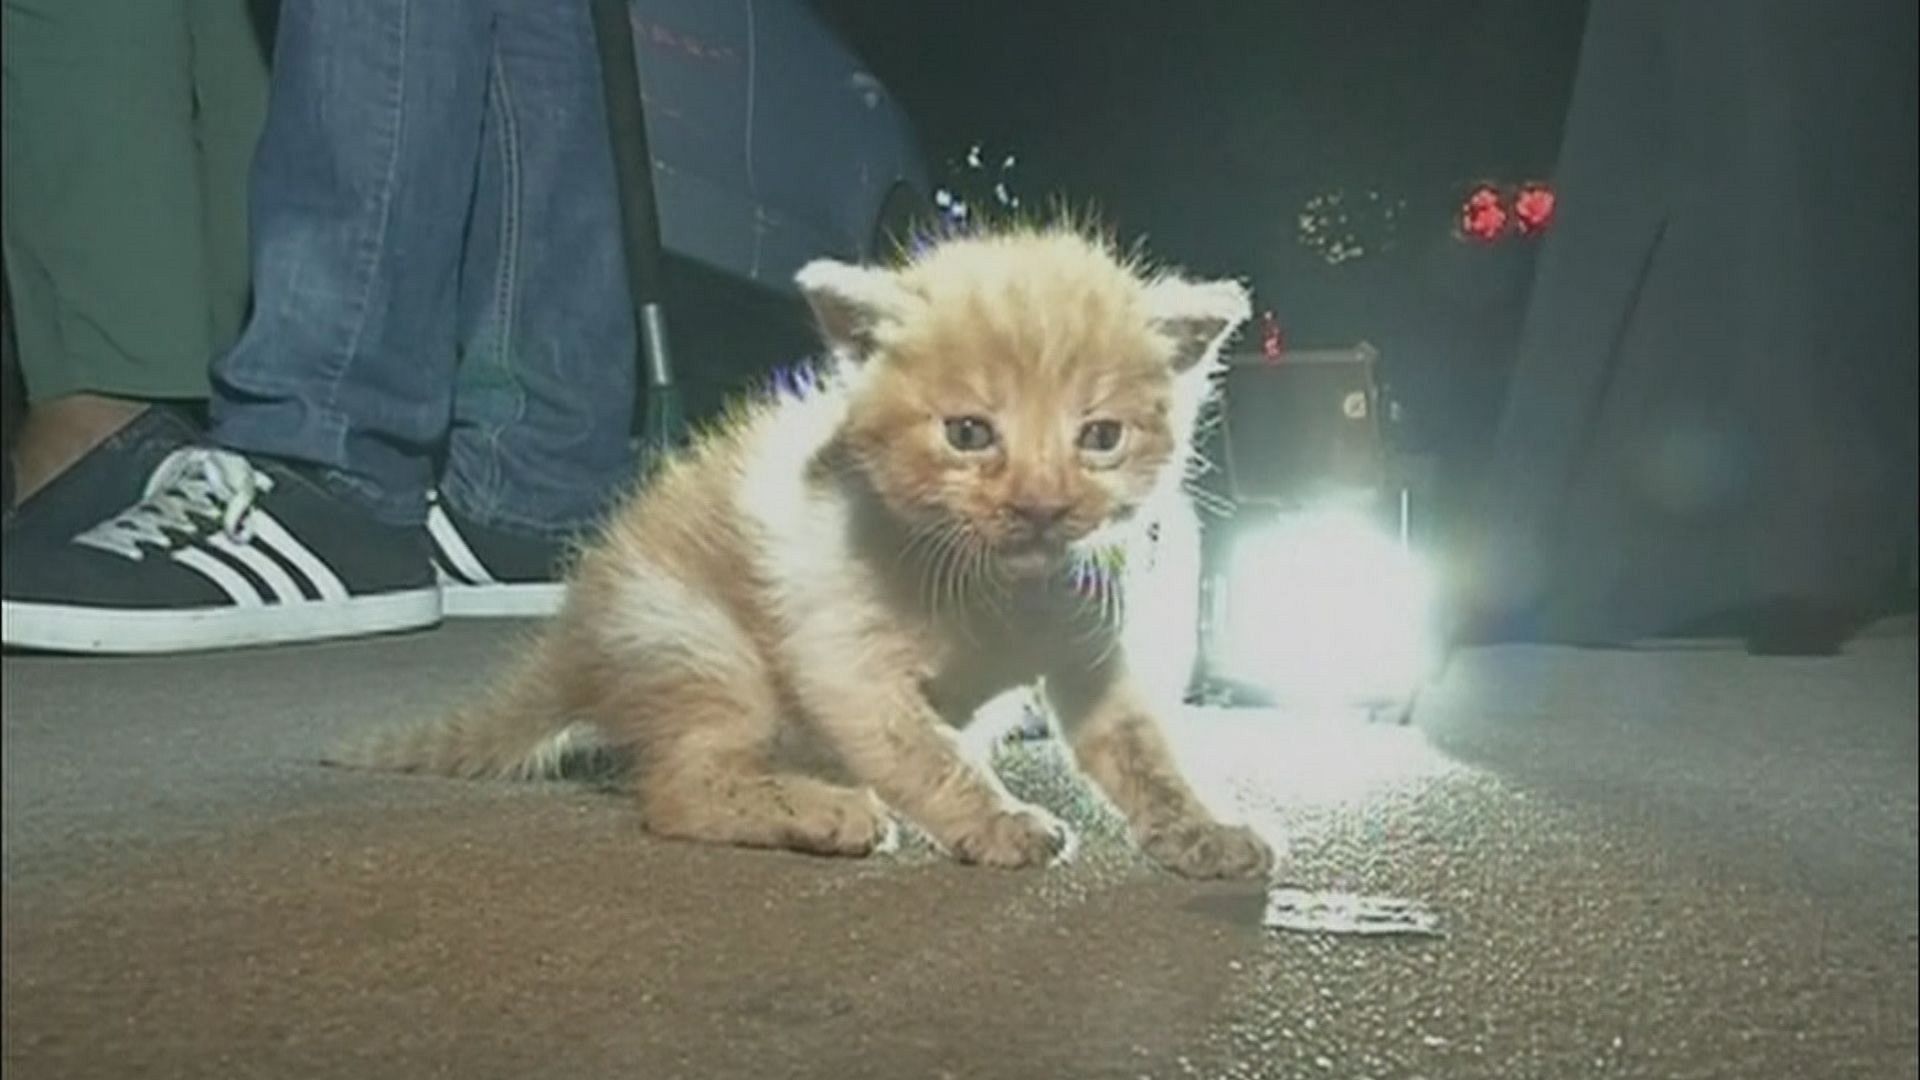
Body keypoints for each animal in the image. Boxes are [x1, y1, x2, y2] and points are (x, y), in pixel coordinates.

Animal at [337, 224, 1274, 876]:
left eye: (1101, 437)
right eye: (969, 433)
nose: (1041, 507)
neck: (1003, 591)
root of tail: (575, 641)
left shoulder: (1093, 651)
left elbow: (1146, 753)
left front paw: (1203, 832)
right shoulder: (844, 660)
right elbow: (925, 754)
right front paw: (996, 822)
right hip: (702, 650)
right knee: (676, 788)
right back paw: (827, 811)